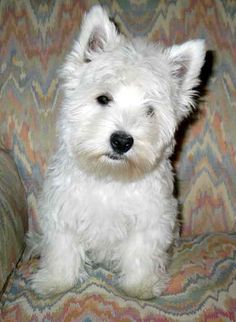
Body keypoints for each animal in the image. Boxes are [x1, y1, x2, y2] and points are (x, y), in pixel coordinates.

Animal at [26, 5, 205, 300]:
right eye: (103, 98)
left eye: (149, 110)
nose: (122, 141)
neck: (110, 176)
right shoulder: (62, 212)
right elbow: (63, 250)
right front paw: (55, 282)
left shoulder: (151, 218)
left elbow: (141, 254)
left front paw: (140, 285)